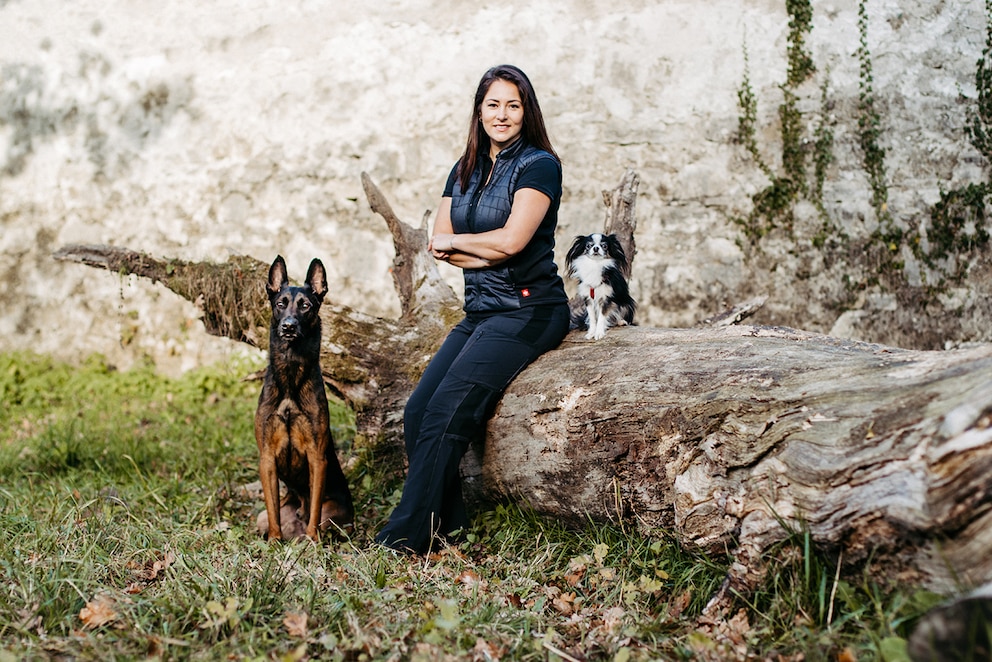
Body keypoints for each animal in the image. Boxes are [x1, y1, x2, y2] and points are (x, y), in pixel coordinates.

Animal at [254, 256, 354, 544]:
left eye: (305, 306)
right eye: (280, 303)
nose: (288, 326)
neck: (290, 374)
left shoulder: (317, 457)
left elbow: (315, 509)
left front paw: (313, 541)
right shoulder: (267, 458)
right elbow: (273, 511)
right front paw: (274, 542)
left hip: (335, 514)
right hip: (261, 516)